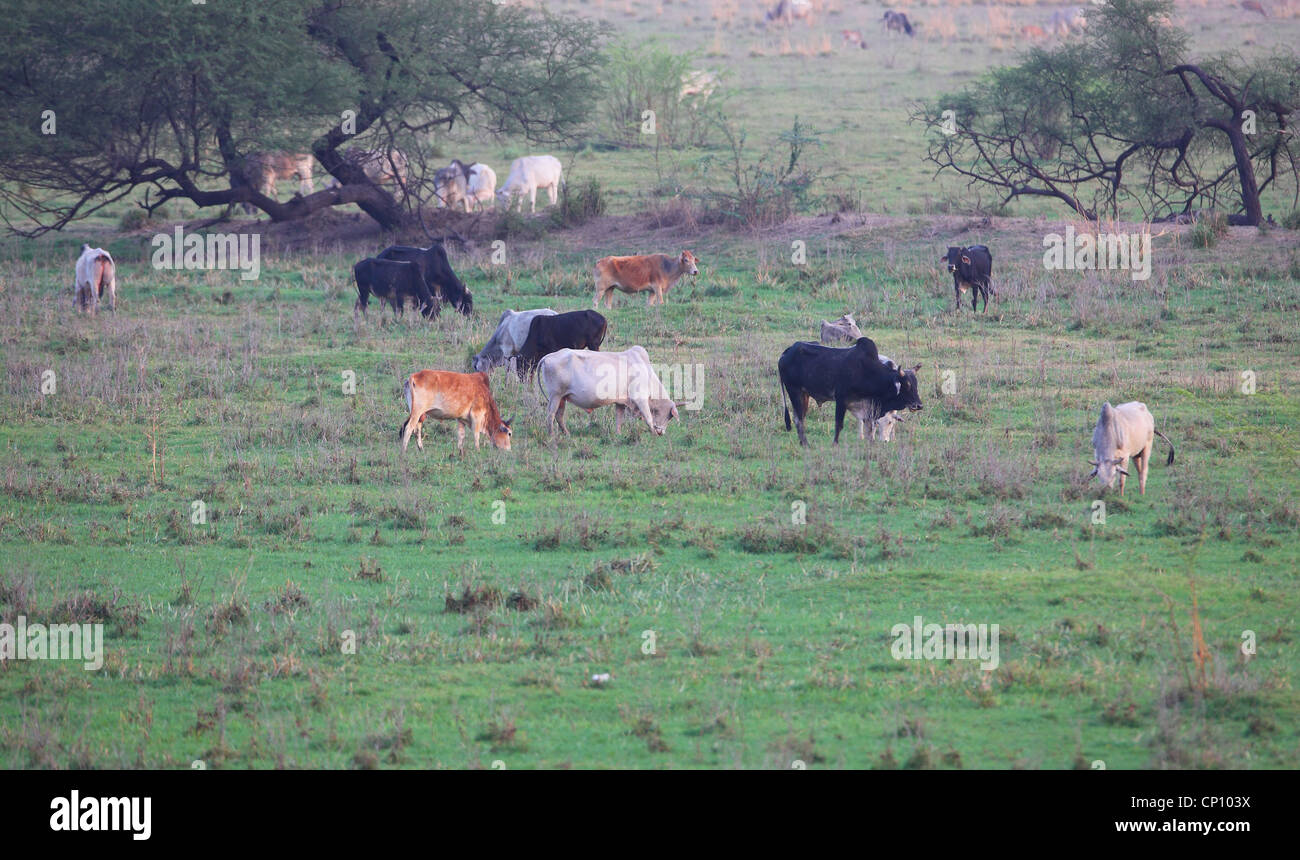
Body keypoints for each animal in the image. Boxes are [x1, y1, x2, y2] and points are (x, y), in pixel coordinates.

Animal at [535, 345, 686, 433]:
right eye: (669, 416)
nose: (661, 432)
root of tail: (549, 356)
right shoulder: (640, 399)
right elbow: (649, 418)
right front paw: (653, 434)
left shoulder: (620, 402)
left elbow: (619, 419)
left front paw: (618, 434)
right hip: (555, 396)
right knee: (551, 415)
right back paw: (552, 436)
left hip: (562, 398)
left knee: (559, 416)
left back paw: (567, 434)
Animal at [774, 337, 920, 446]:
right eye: (907, 385)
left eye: (915, 384)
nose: (919, 405)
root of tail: (787, 352)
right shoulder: (841, 399)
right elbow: (839, 424)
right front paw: (835, 444)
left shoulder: (868, 408)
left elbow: (869, 427)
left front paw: (871, 443)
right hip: (794, 391)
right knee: (798, 419)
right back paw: (805, 444)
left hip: (804, 394)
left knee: (800, 417)